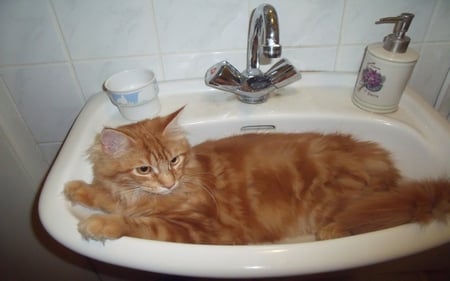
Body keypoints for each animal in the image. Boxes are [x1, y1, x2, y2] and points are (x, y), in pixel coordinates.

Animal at [65, 107, 450, 243]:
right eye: (144, 169)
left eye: (174, 160)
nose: (169, 182)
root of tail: (382, 162)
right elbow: (104, 194)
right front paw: (79, 189)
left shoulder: (203, 229)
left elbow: (141, 225)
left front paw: (102, 224)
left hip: (343, 203)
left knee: (376, 217)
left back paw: (334, 230)